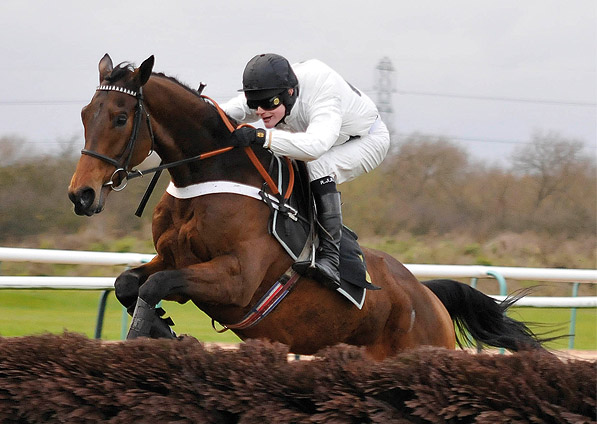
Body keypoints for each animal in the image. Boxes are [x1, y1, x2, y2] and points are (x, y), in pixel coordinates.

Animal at [67, 54, 544, 362]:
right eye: (86, 113)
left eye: (121, 118)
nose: (81, 195)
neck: (210, 175)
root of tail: (426, 295)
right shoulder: (172, 258)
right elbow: (130, 282)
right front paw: (163, 330)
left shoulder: (237, 280)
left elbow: (154, 286)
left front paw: (154, 335)